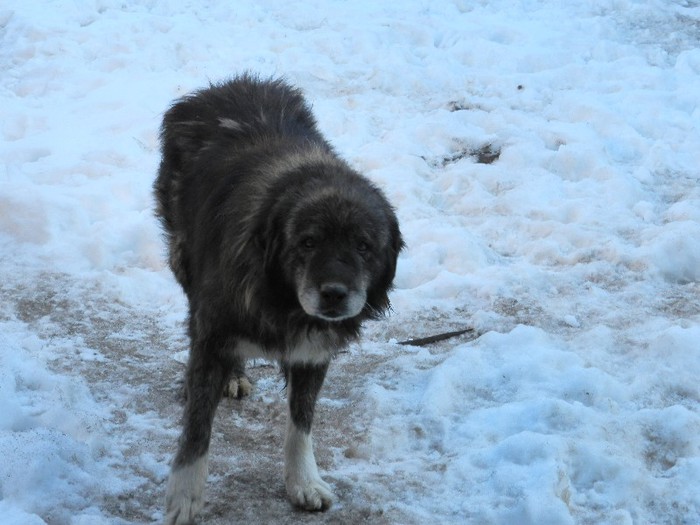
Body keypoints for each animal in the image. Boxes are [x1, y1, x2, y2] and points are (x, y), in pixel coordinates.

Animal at [153, 74, 404, 524]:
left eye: (363, 246)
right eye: (308, 242)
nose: (334, 295)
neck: (283, 301)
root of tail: (224, 85)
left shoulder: (313, 353)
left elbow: (300, 424)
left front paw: (302, 482)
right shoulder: (213, 336)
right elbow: (196, 429)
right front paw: (184, 497)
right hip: (183, 260)